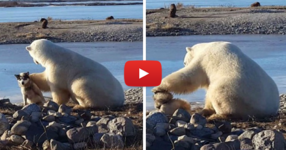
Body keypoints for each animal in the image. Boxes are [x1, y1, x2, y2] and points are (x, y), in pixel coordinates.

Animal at [152, 41, 280, 120]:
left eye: (184, 62)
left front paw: (157, 87)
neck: (206, 46)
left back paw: (217, 116)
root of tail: (269, 109)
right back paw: (204, 111)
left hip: (236, 92)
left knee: (219, 93)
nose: (184, 63)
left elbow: (189, 77)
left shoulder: (205, 59)